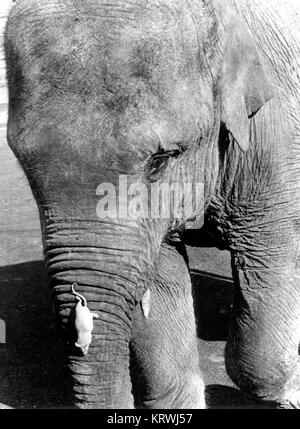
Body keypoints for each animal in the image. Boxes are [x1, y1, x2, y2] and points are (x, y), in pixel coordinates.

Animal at [3, 0, 298, 408]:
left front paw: (290, 393)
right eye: (23, 163)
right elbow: (161, 272)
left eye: (161, 160)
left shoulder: (272, 139)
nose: (81, 309)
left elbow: (267, 254)